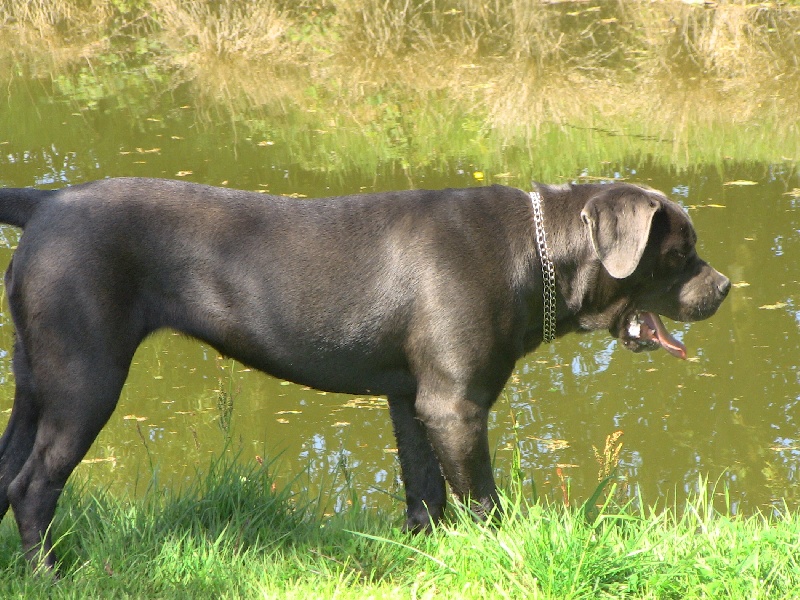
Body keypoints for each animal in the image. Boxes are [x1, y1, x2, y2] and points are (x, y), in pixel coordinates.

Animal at [0, 177, 728, 568]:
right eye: (679, 253)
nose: (724, 287)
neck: (537, 253)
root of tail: (49, 202)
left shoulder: (413, 401)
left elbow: (425, 491)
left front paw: (422, 555)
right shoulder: (456, 405)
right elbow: (483, 500)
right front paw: (498, 553)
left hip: (36, 382)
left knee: (10, 474)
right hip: (84, 380)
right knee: (35, 487)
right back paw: (50, 575)